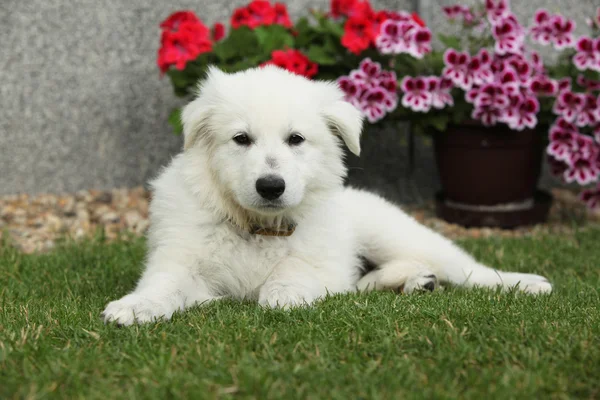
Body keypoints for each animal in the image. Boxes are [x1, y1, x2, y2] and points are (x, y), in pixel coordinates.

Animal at [101, 64, 552, 324]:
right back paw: (414, 282)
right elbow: (164, 285)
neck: (260, 228)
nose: (271, 186)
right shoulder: (181, 261)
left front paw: (282, 296)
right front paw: (135, 306)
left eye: (296, 139)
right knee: (368, 280)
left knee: (468, 269)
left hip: (395, 233)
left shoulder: (319, 262)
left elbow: (291, 272)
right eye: (241, 139)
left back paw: (525, 282)